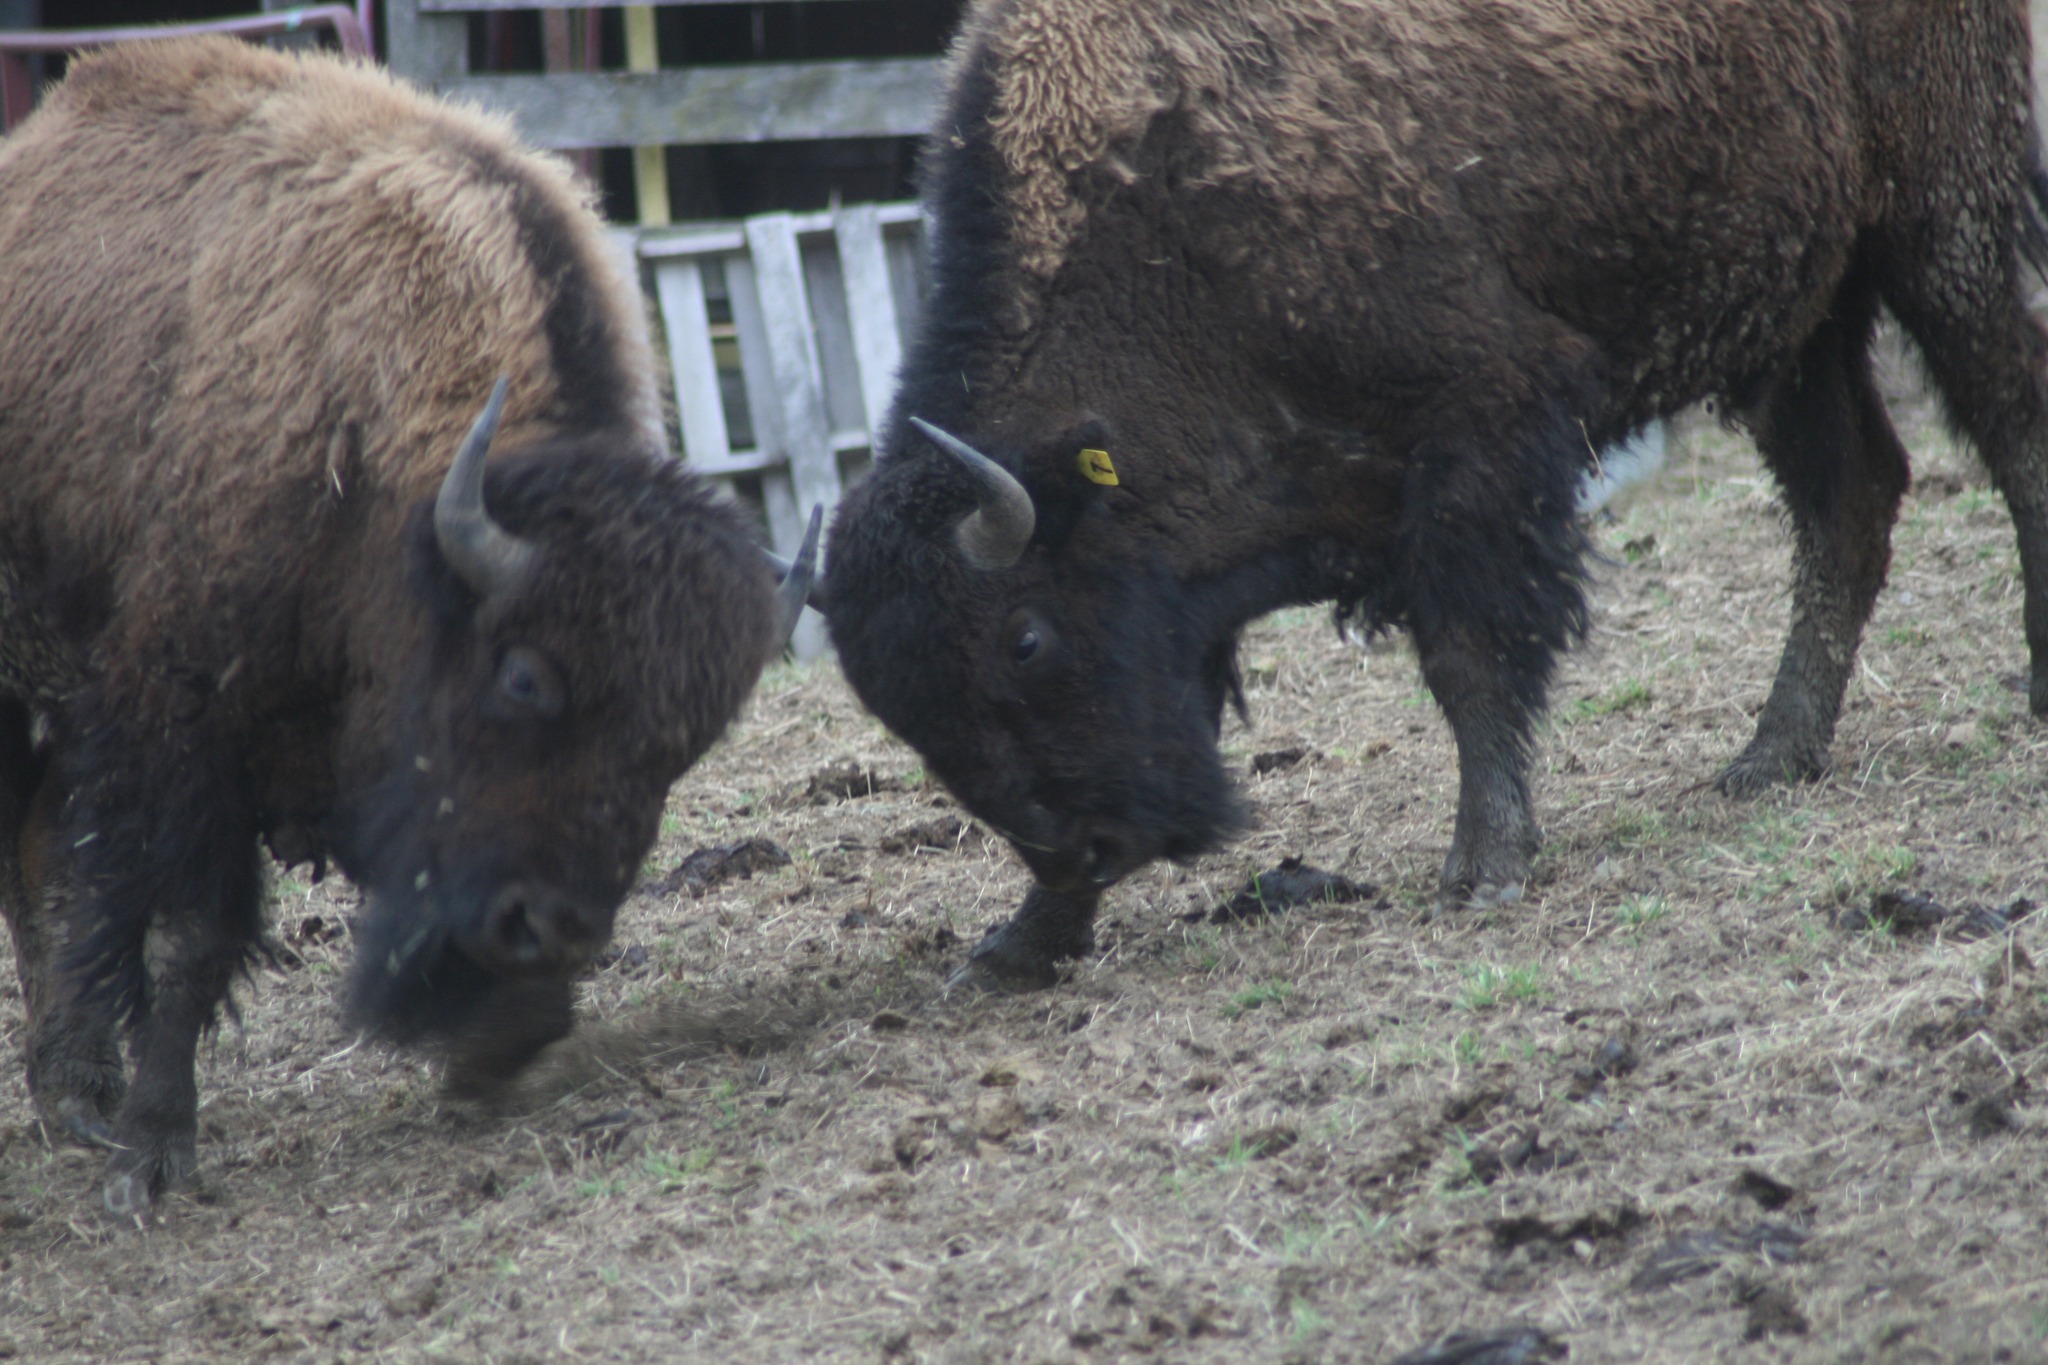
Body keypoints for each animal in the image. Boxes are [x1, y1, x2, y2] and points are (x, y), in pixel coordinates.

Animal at [0, 37, 807, 1218]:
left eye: (682, 744)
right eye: (523, 678)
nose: (548, 928)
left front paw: (497, 1048)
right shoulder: (183, 719)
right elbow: (192, 935)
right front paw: (152, 1159)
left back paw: (75, 1093)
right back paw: (86, 1103)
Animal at [819, 0, 2048, 984]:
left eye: (1022, 638)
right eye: (900, 706)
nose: (1083, 849)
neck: (1160, 212)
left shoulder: (1479, 438)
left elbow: (1469, 658)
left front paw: (1483, 866)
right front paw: (1018, 947)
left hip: (1941, 217)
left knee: (2010, 425)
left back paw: (2023, 691)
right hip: (1796, 310)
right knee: (1851, 496)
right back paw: (1765, 761)